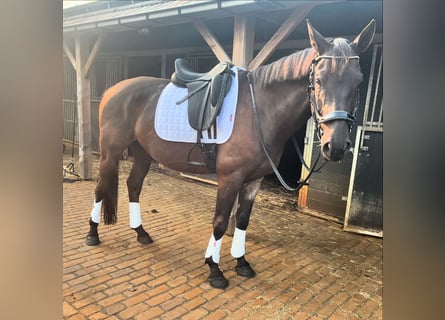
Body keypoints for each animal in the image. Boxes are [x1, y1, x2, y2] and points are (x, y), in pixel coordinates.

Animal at [84, 20, 374, 290]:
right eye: (319, 80)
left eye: (359, 82)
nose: (335, 146)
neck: (260, 110)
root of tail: (113, 90)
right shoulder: (230, 178)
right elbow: (221, 222)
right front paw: (214, 270)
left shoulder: (254, 180)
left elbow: (242, 221)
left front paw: (241, 262)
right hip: (110, 153)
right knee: (100, 188)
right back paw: (93, 234)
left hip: (143, 153)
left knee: (133, 185)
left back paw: (141, 233)